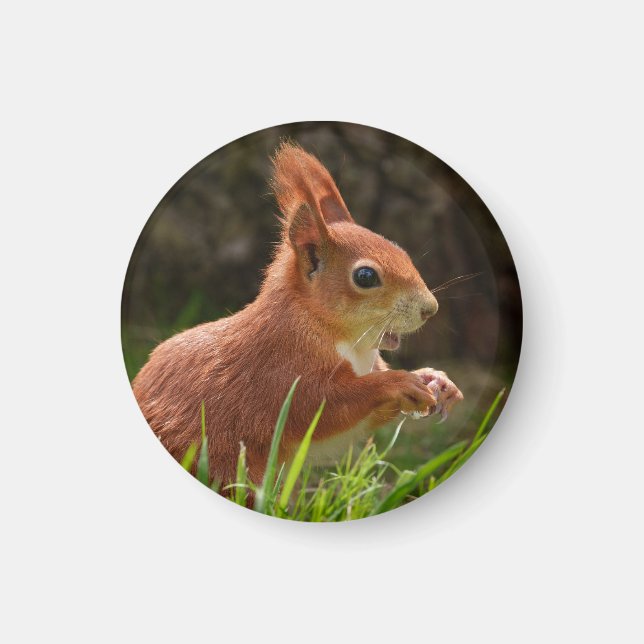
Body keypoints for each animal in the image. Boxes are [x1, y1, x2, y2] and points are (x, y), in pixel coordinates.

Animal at [132, 142, 463, 487]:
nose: (430, 309)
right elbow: (322, 407)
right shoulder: (280, 373)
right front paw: (397, 382)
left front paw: (438, 381)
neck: (343, 338)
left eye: (401, 251)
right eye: (365, 277)